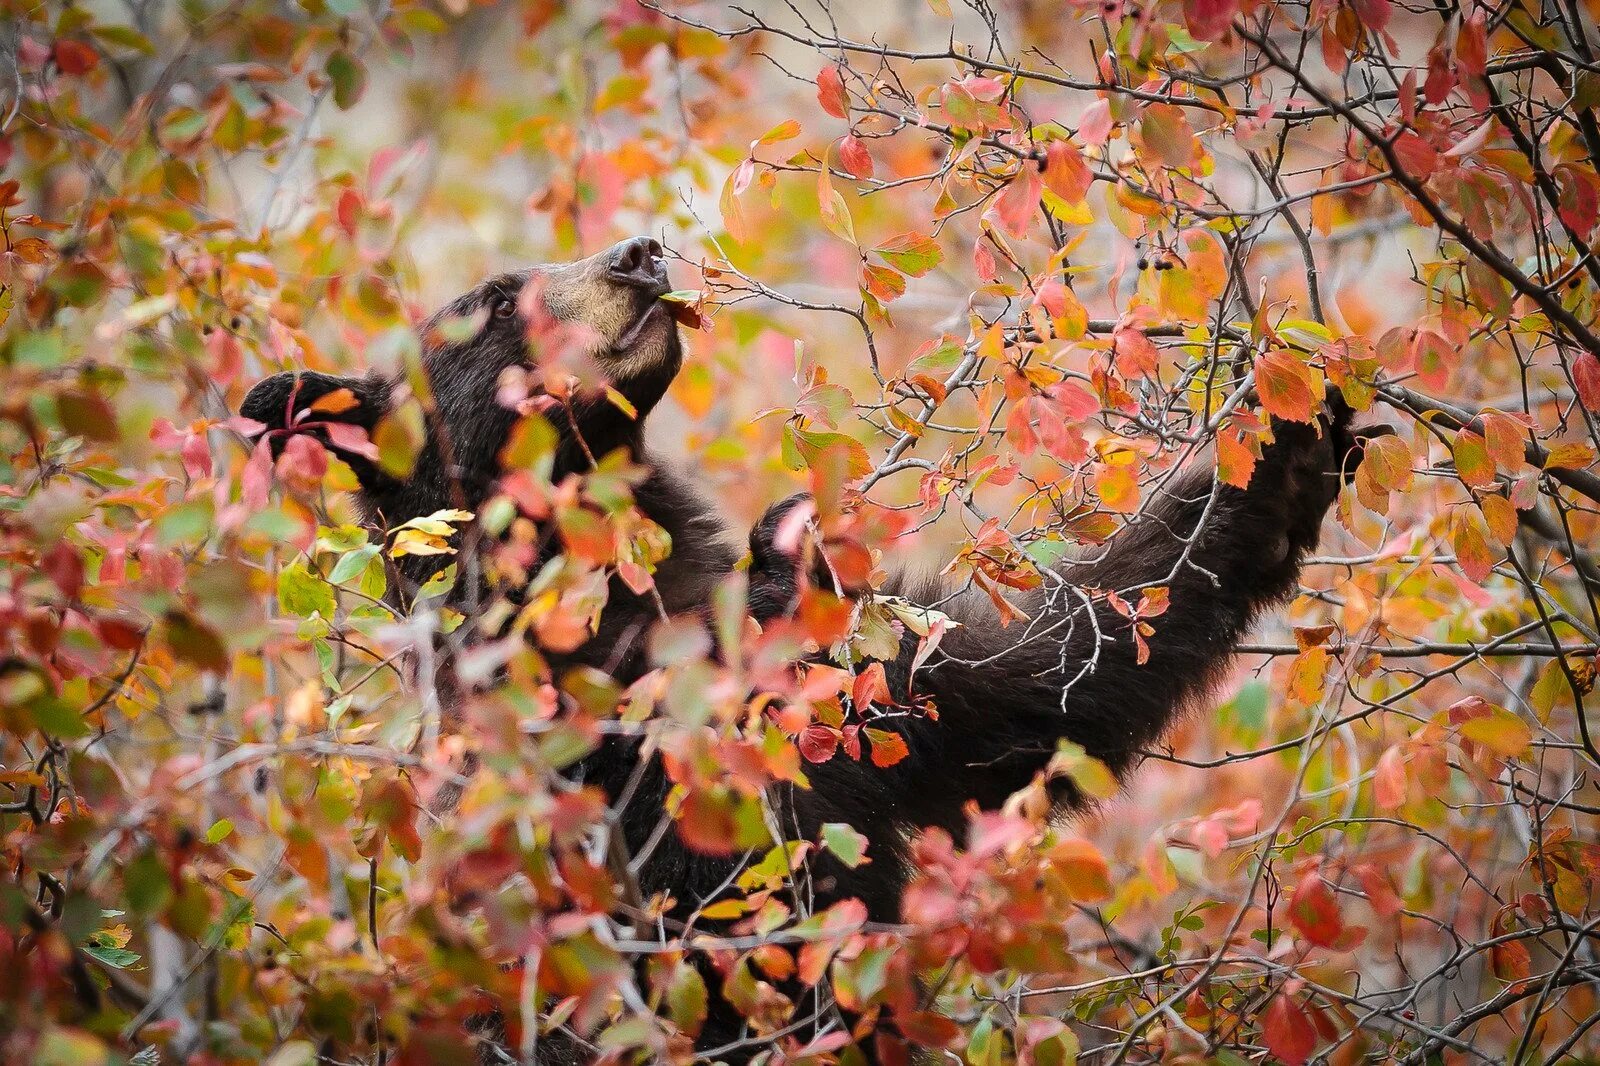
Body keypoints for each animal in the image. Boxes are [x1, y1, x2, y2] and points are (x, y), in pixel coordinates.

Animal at [243, 232, 1369, 1056]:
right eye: (490, 296)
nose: (637, 252)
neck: (618, 601)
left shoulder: (841, 671)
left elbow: (1041, 680)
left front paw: (1287, 440)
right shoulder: (598, 782)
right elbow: (710, 926)